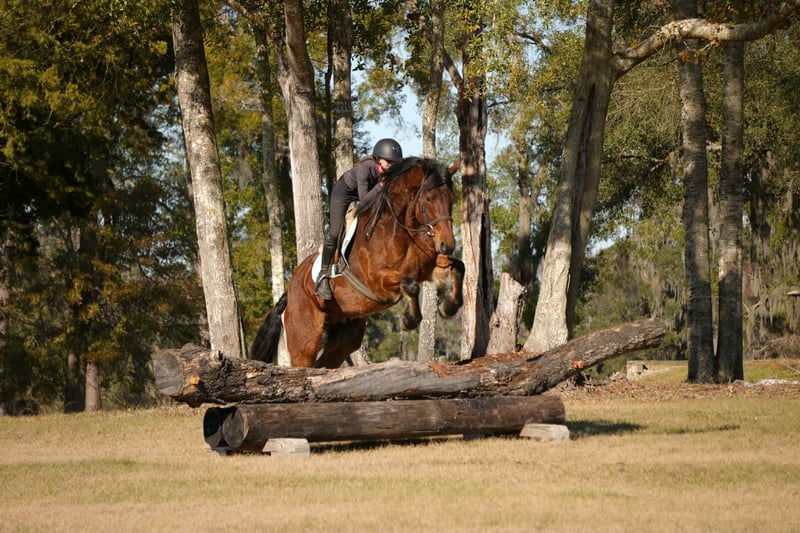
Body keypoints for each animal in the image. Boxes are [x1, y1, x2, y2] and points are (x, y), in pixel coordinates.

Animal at [251, 156, 464, 368]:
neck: (397, 230)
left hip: (344, 337)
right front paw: (409, 320)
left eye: (452, 199)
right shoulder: (377, 281)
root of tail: (289, 293)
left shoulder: (425, 270)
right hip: (304, 341)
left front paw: (449, 307)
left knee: (326, 363)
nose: (447, 245)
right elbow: (410, 285)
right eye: (429, 199)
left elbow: (458, 267)